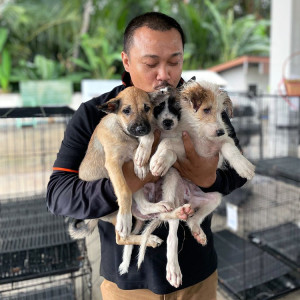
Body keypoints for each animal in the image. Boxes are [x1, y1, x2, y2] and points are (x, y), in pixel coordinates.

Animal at [137, 80, 254, 288]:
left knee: (193, 219)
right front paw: (159, 160)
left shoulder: (220, 143)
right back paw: (173, 268)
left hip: (214, 197)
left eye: (221, 113)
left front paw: (243, 165)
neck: (200, 133)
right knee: (171, 231)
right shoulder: (180, 146)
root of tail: (187, 196)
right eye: (206, 109)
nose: (220, 130)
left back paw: (197, 231)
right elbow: (167, 145)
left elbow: (230, 147)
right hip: (173, 188)